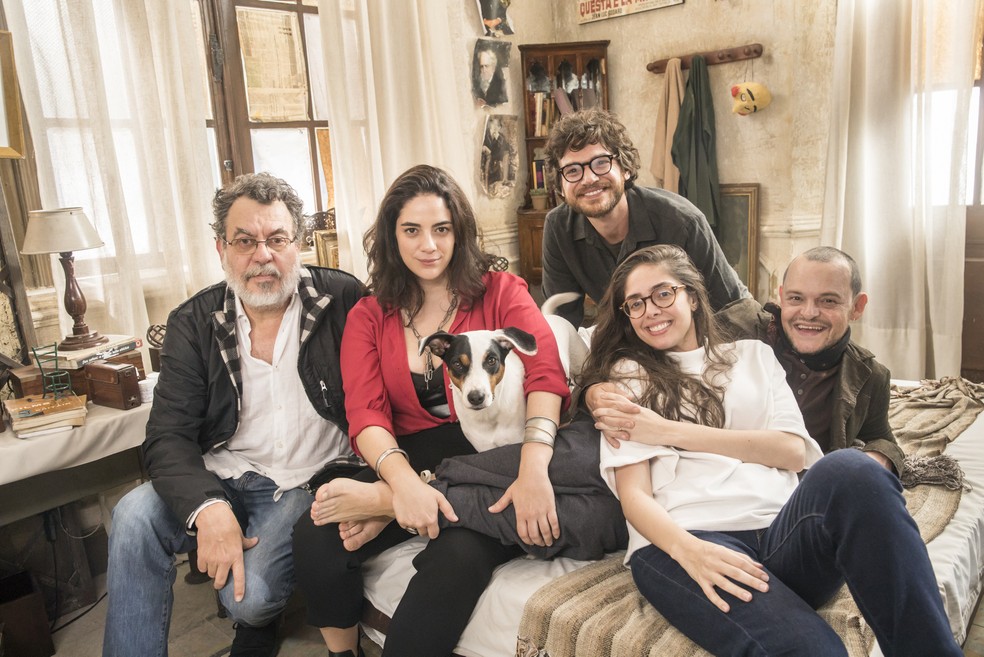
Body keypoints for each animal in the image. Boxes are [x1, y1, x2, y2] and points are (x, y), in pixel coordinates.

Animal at [416, 294, 584, 454]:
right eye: (457, 364)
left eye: (491, 360)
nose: (476, 397)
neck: (489, 414)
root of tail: (548, 316)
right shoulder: (484, 448)